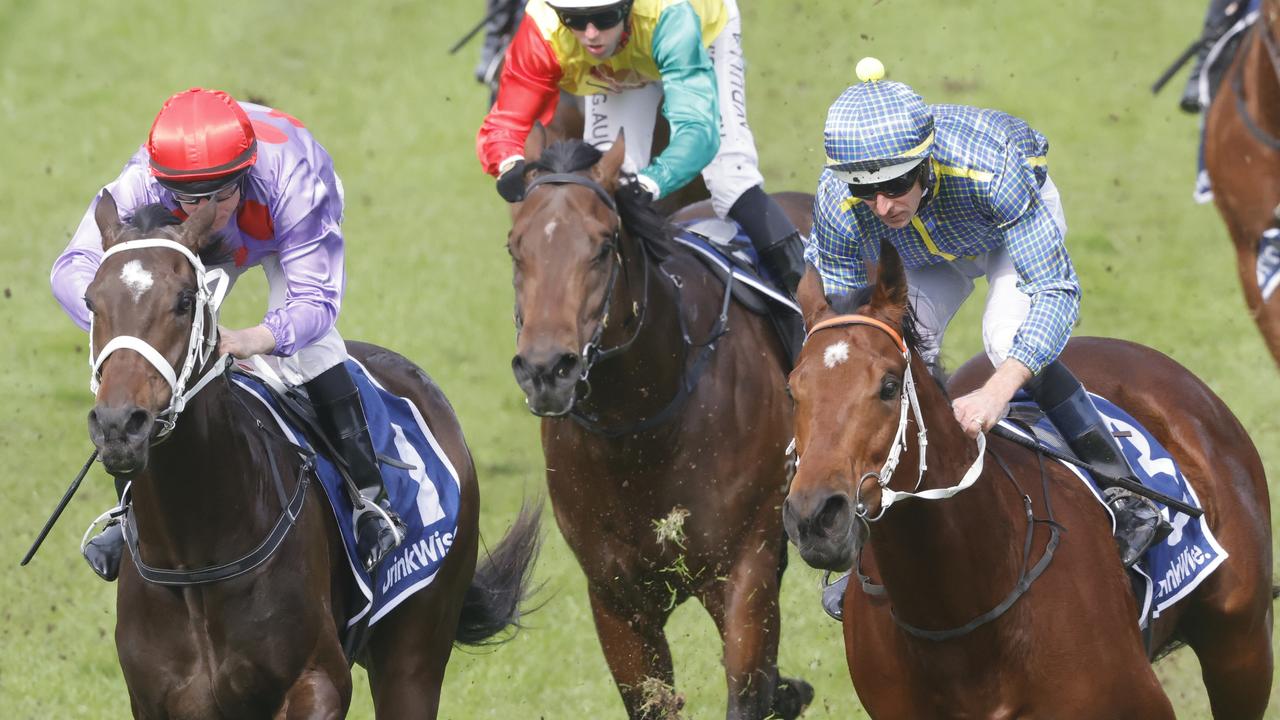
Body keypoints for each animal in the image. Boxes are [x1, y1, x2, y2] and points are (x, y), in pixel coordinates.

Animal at [83, 192, 535, 717]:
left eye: (184, 301)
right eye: (91, 300)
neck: (194, 556)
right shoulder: (157, 700)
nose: (119, 425)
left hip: (414, 652)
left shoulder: (319, 681)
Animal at [501, 131, 808, 712]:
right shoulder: (616, 601)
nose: (546, 370)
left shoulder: (744, 573)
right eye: (515, 247)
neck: (645, 432)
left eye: (602, 246)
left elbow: (747, 690)